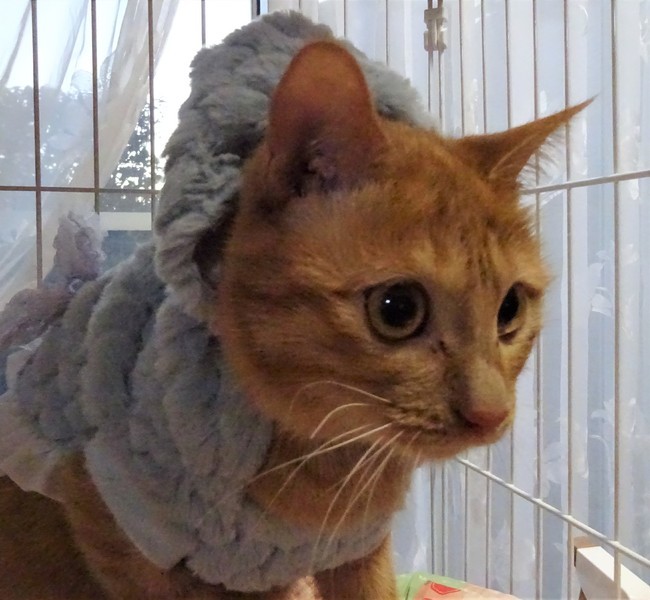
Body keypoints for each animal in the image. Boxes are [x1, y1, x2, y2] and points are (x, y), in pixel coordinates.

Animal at [0, 36, 587, 600]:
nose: (491, 414)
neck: (324, 460)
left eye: (510, 309)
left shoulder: (359, 550)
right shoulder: (108, 513)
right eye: (398, 309)